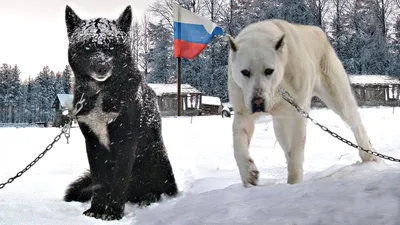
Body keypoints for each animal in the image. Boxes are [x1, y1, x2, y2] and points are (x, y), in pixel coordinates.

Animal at [63, 5, 178, 221]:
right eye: (87, 46)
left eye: (112, 46)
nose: (101, 67)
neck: (101, 92)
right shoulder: (92, 143)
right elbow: (99, 182)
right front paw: (97, 209)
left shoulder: (126, 140)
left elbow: (120, 179)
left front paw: (114, 212)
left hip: (155, 158)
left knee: (157, 190)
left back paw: (147, 198)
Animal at [227, 18, 376, 186]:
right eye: (245, 72)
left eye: (269, 71)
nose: (257, 102)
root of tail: (317, 31)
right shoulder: (242, 112)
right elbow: (238, 144)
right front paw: (248, 173)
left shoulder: (298, 112)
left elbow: (297, 148)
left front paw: (294, 182)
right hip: (280, 123)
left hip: (338, 96)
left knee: (356, 124)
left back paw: (368, 155)